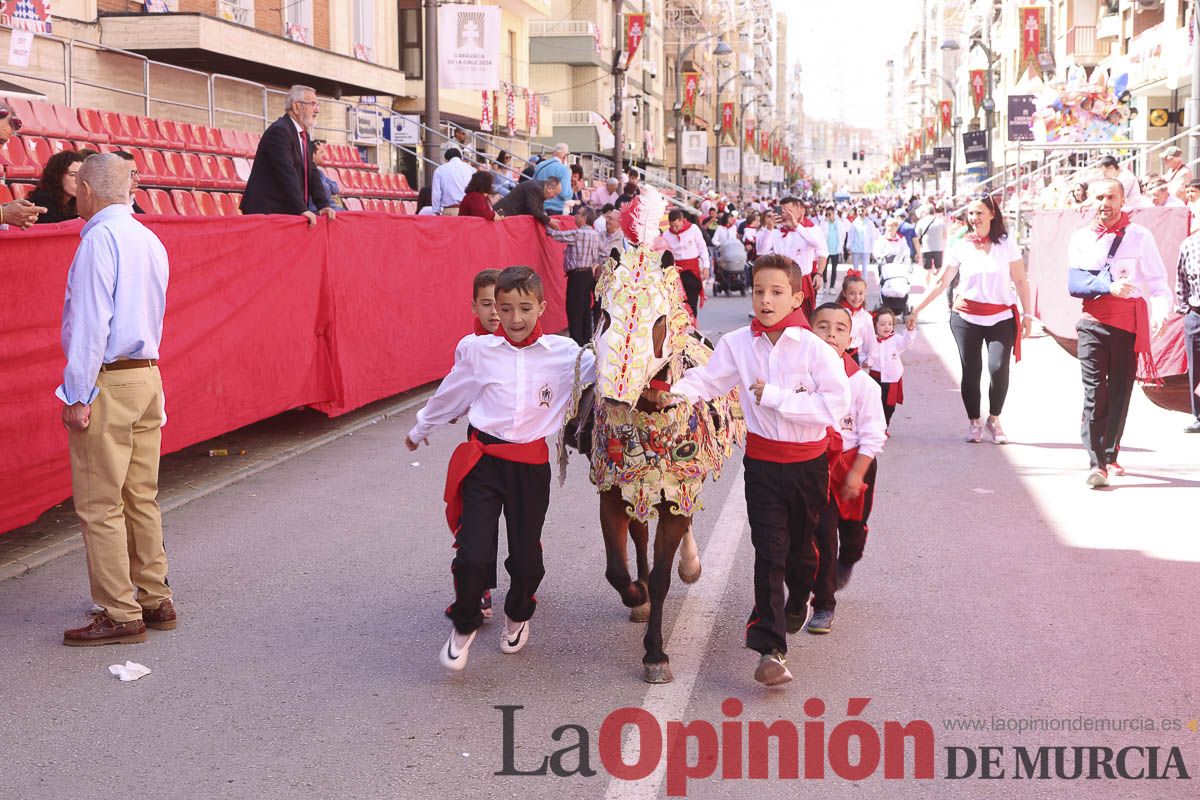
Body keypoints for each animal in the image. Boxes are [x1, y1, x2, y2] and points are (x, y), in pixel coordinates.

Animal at [559, 185, 739, 681]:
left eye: (658, 321)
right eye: (601, 315)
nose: (617, 396)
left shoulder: (679, 489)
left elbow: (662, 575)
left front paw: (656, 653)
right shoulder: (613, 488)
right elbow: (617, 569)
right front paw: (635, 596)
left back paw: (691, 565)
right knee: (638, 536)